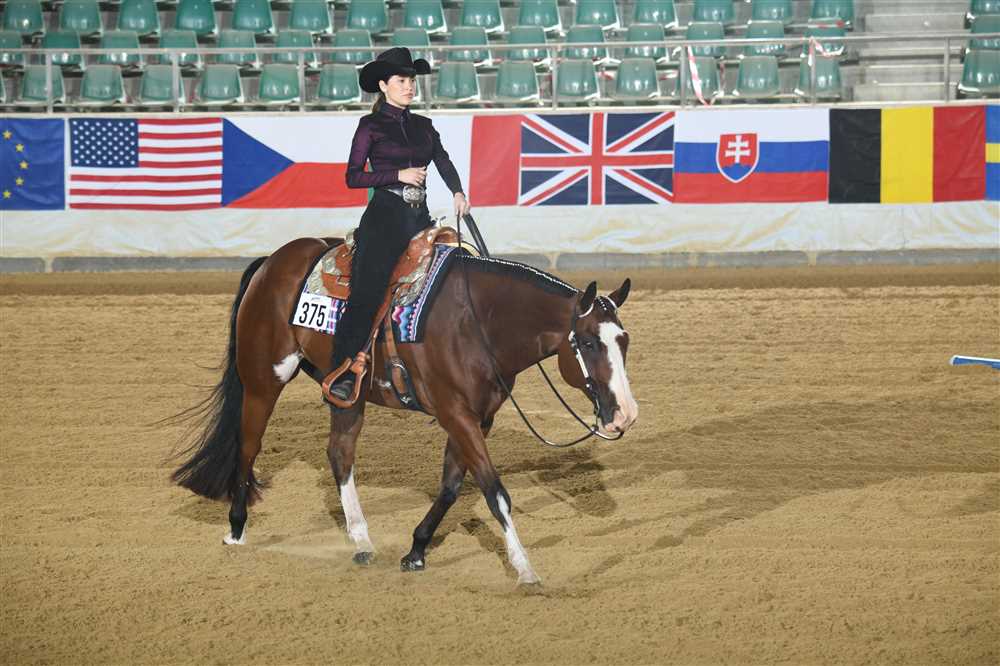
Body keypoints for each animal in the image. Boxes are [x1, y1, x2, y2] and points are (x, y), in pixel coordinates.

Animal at [171, 236, 638, 585]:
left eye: (624, 341)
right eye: (590, 342)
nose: (626, 415)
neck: (476, 321)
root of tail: (272, 263)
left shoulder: (477, 417)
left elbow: (451, 486)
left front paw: (415, 551)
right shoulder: (455, 412)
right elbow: (495, 491)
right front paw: (524, 569)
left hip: (347, 393)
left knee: (340, 454)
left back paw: (361, 542)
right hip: (263, 381)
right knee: (248, 446)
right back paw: (236, 528)